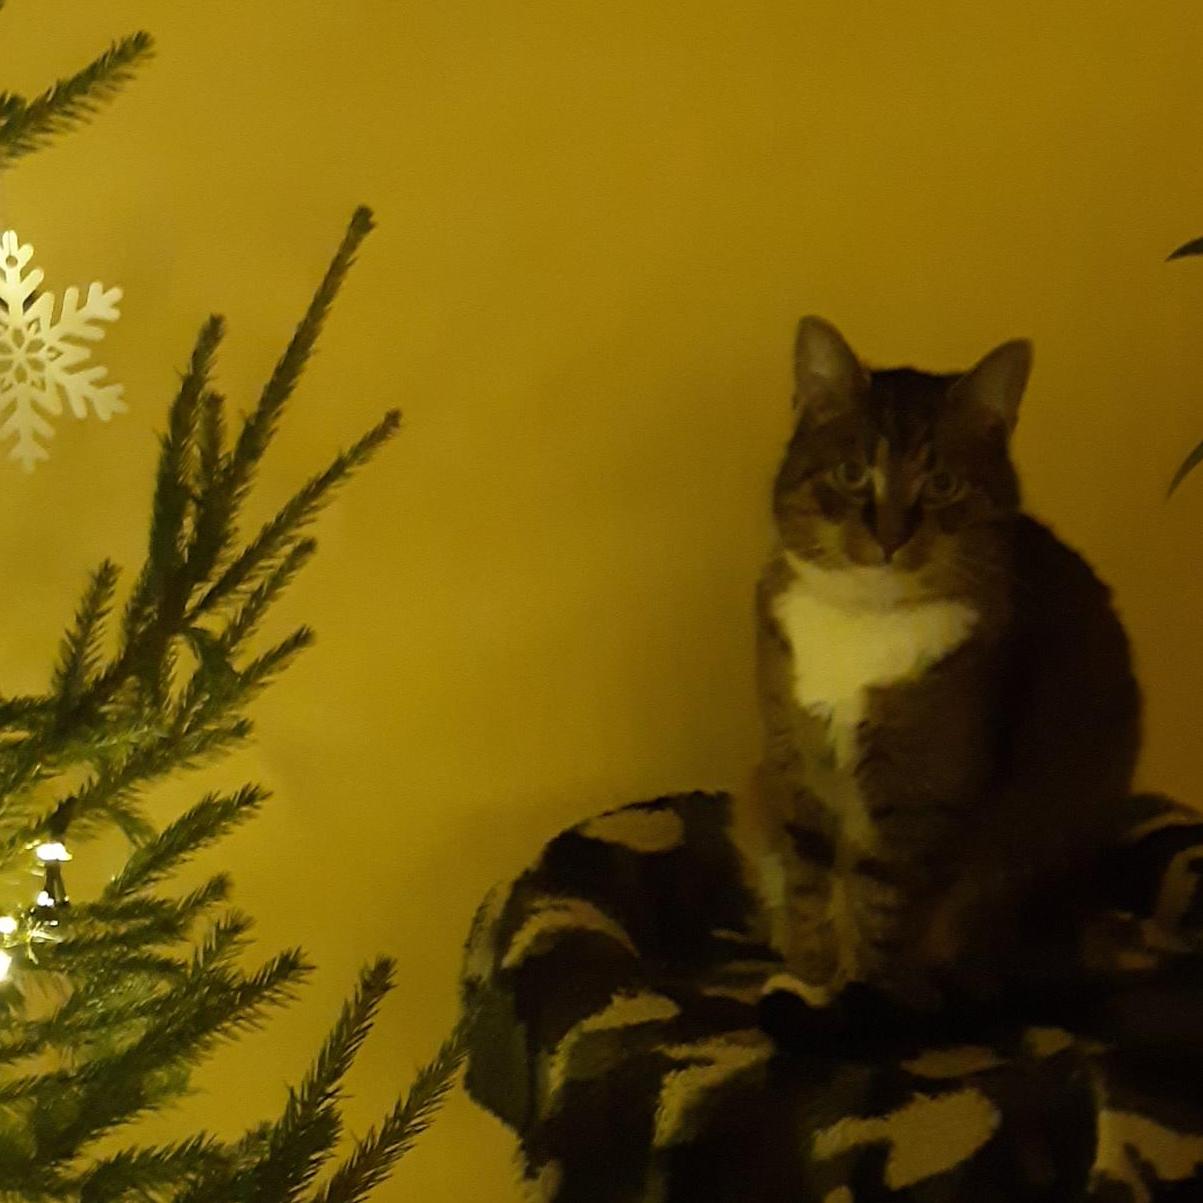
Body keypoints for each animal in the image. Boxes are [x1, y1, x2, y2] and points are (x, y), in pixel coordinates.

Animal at [741, 316, 1141, 1015]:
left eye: (944, 484)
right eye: (852, 472)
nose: (891, 536)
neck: (865, 622)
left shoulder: (921, 794)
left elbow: (882, 903)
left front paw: (865, 1003)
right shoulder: (794, 763)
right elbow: (810, 881)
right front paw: (812, 979)